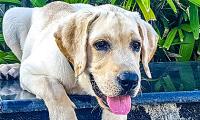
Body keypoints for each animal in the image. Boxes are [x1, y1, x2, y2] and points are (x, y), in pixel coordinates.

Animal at [1, 1, 158, 120]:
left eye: (136, 45)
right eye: (100, 44)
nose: (130, 81)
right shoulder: (29, 71)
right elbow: (52, 86)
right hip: (11, 15)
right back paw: (10, 69)